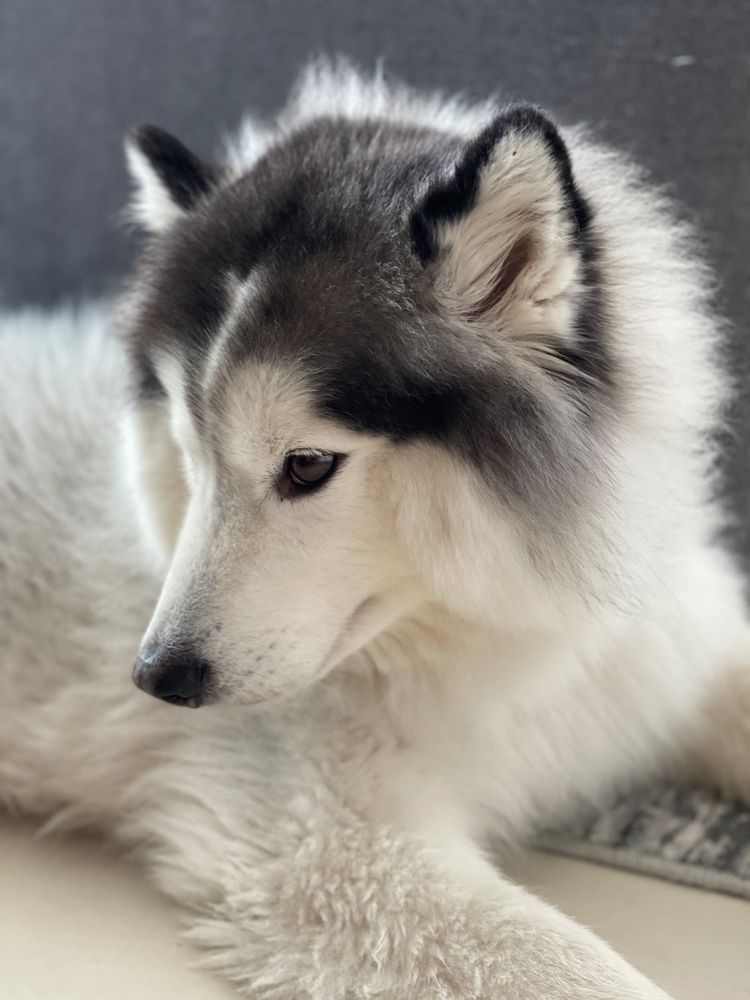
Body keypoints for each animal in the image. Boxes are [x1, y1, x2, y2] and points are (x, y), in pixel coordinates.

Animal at [1, 60, 750, 1000]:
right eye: (190, 451)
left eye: (308, 465)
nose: (157, 678)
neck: (507, 628)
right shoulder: (333, 852)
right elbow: (586, 974)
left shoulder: (669, 649)